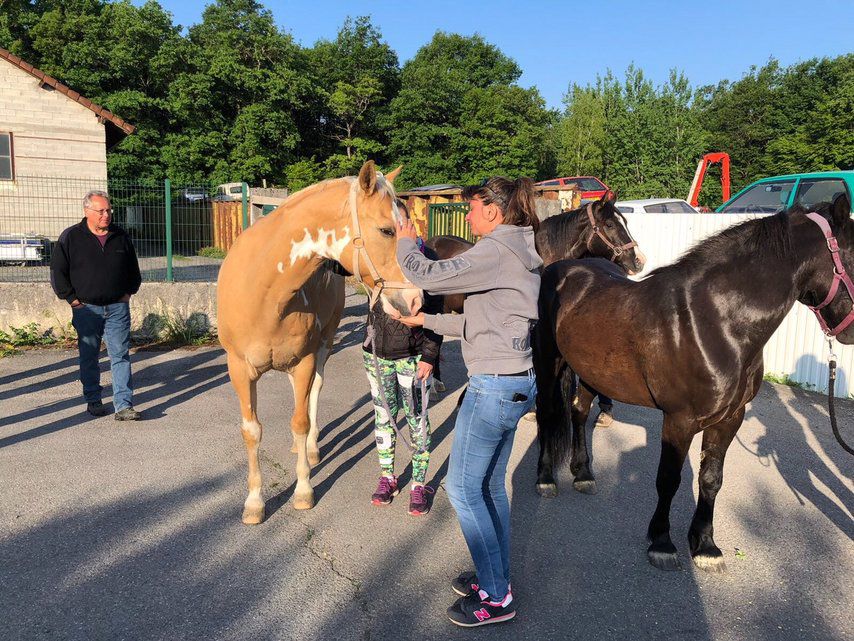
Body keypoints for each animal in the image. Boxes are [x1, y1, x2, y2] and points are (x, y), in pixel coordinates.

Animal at [217, 161, 421, 522]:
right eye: (387, 230)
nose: (414, 300)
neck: (263, 293)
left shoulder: (305, 362)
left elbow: (300, 420)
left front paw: (303, 490)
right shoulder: (239, 369)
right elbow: (251, 430)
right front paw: (254, 503)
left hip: (323, 346)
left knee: (314, 392)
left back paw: (310, 449)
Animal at [533, 194, 854, 572]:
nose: (849, 332)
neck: (713, 321)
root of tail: (564, 267)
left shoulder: (730, 419)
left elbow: (711, 479)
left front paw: (705, 545)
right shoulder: (679, 420)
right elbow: (669, 479)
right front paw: (661, 542)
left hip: (592, 372)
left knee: (579, 413)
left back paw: (583, 473)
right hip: (548, 363)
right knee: (548, 413)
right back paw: (545, 479)